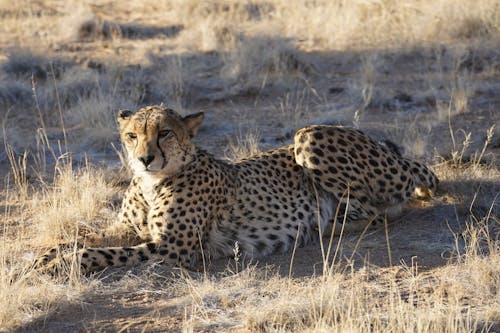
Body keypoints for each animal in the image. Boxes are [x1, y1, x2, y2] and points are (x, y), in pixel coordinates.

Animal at [36, 105, 438, 274]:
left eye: (164, 133)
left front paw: (63, 264)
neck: (152, 183)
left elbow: (101, 252)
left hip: (309, 135)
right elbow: (82, 237)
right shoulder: (127, 229)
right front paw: (45, 255)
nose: (144, 158)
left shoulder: (175, 248)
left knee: (411, 182)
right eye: (132, 135)